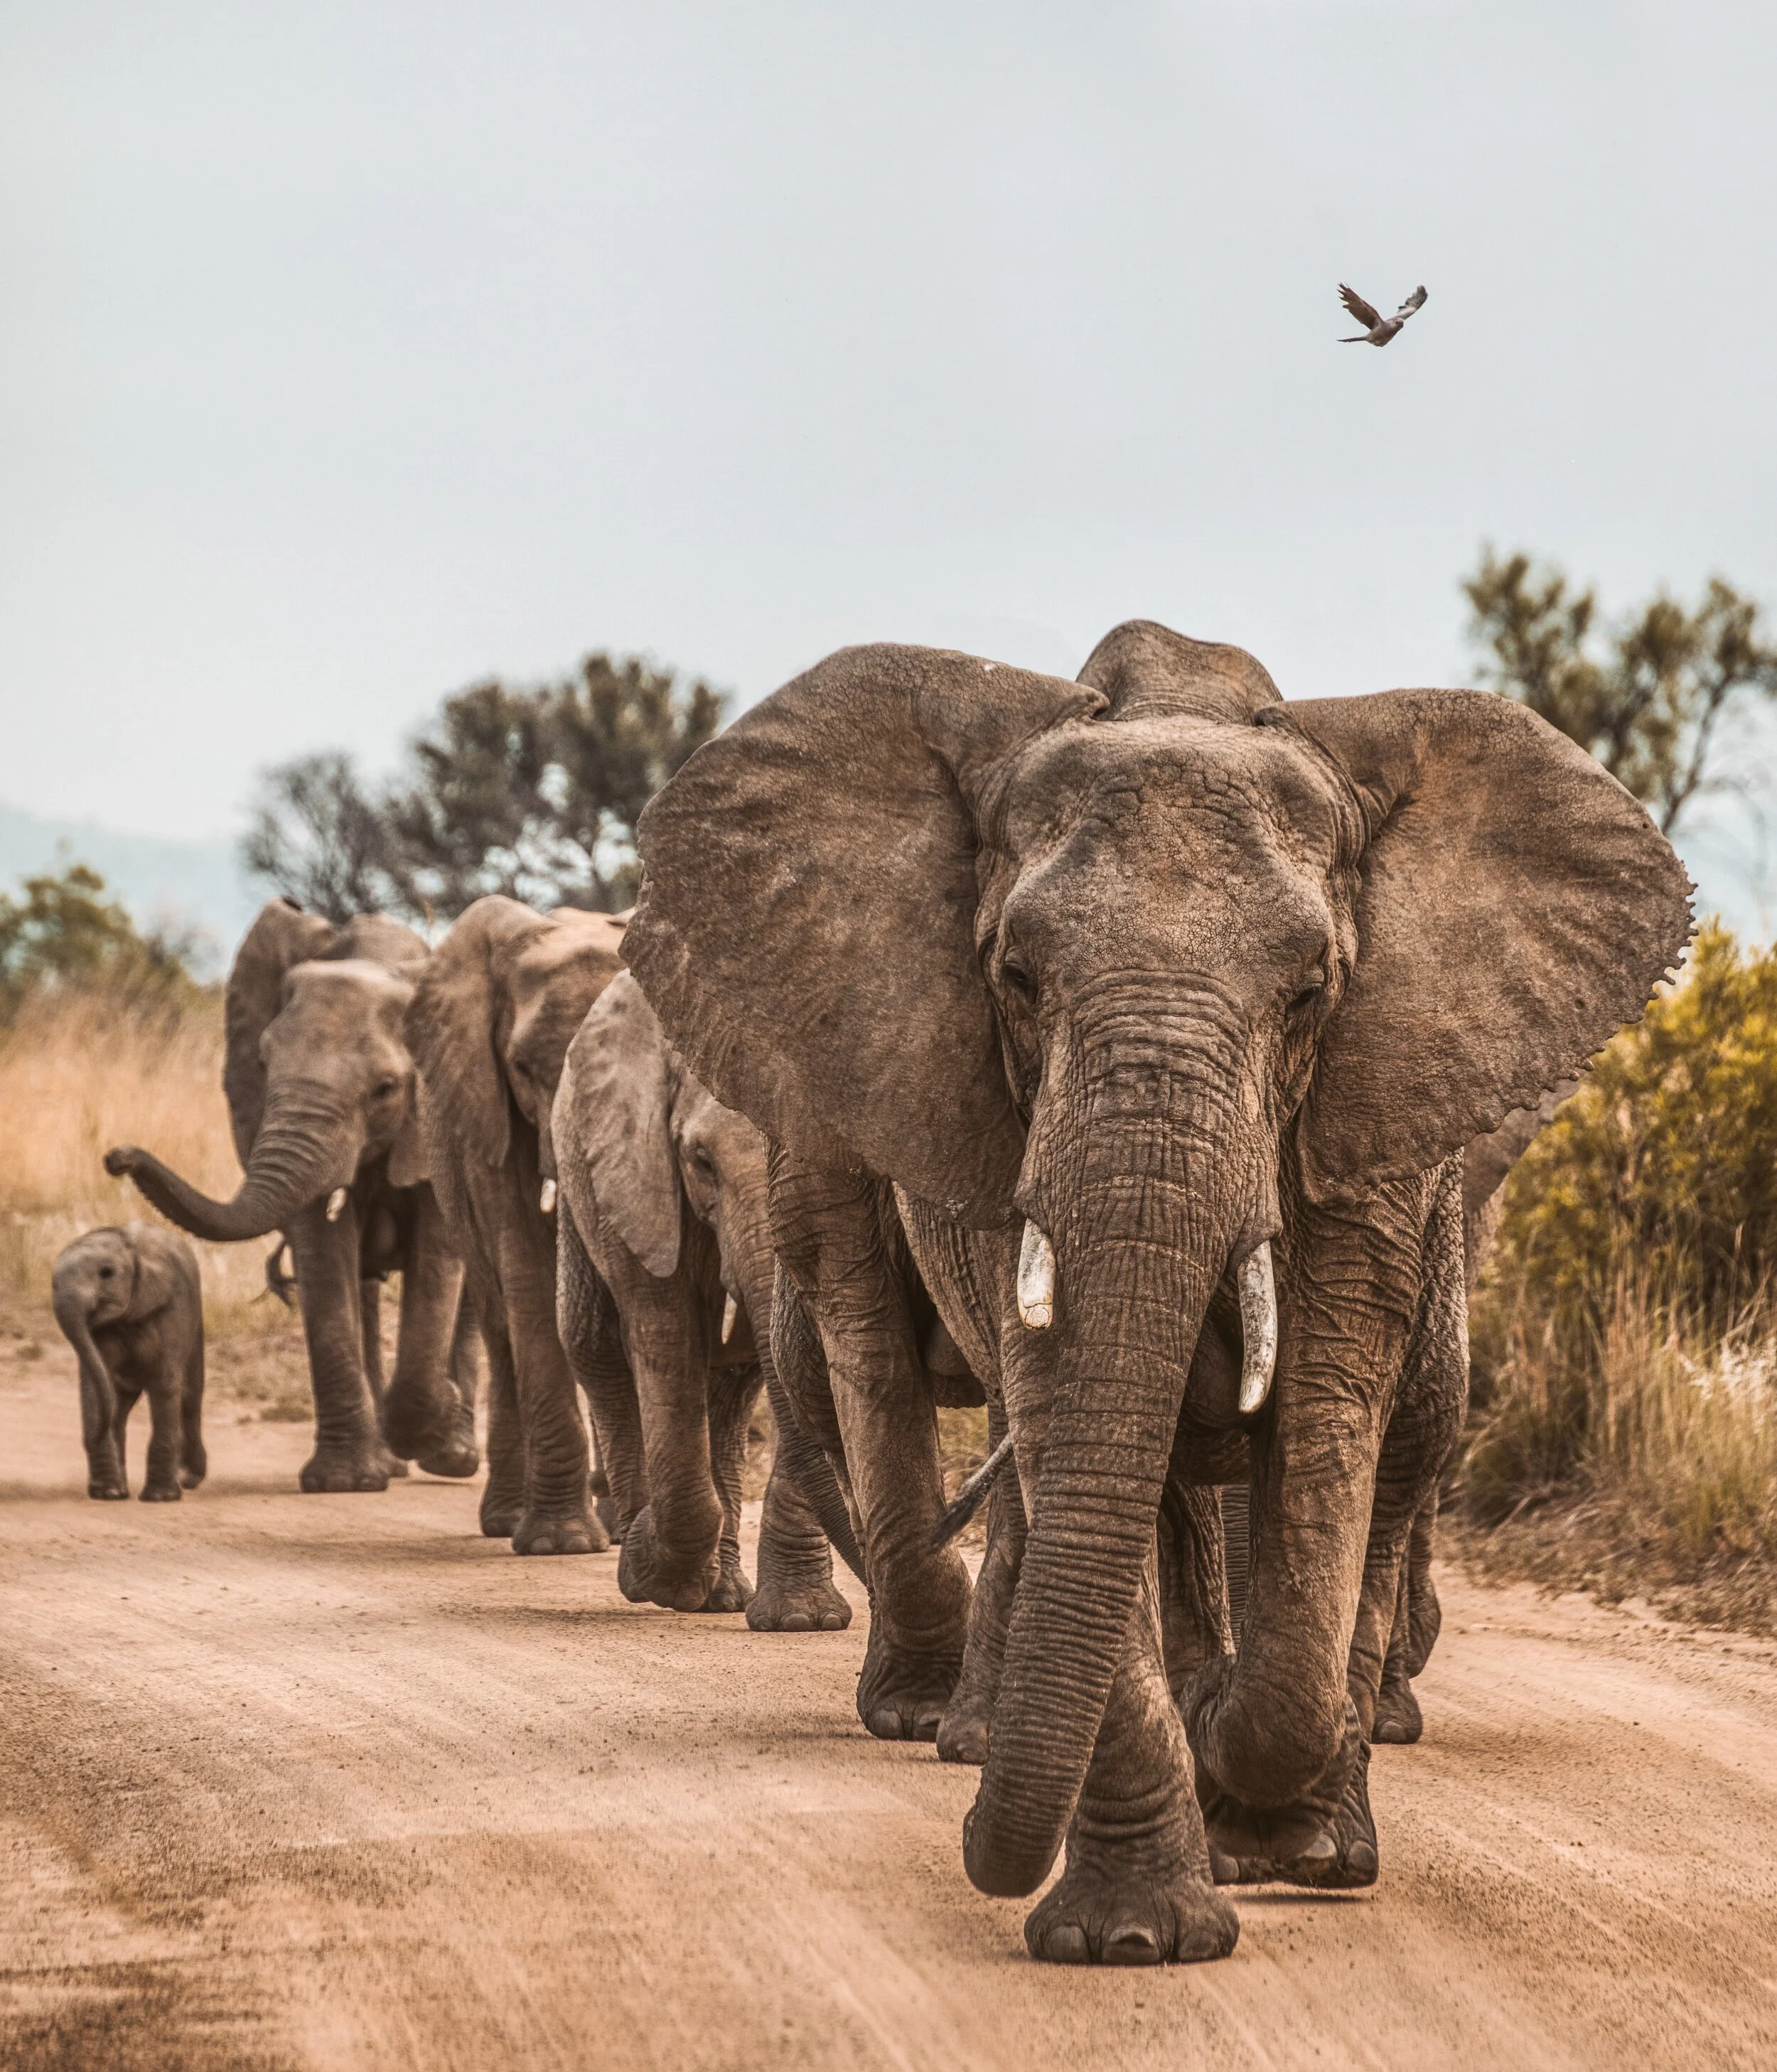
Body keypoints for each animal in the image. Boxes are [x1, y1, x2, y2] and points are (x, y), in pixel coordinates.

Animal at [52, 1223, 206, 1502]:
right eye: (53, 1284)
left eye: (106, 1273)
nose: (93, 1436)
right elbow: (95, 1381)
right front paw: (108, 1493)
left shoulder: (173, 1307)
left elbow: (165, 1382)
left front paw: (161, 1498)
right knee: (120, 1403)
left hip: (196, 1321)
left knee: (190, 1395)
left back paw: (188, 1479)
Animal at [106, 900, 475, 1494]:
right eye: (262, 1065)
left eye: (386, 1089)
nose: (117, 1156)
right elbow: (323, 1255)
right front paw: (346, 1482)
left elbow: (439, 1258)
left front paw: (435, 1416)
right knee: (364, 1287)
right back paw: (393, 1459)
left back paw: (453, 1456)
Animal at [405, 895, 631, 1553]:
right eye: (524, 1067)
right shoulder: (488, 1110)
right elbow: (528, 1269)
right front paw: (562, 1543)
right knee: (501, 1321)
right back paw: (509, 1520)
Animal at [551, 969, 860, 1622]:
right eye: (701, 1161)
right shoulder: (639, 1174)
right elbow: (665, 1336)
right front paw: (651, 1571)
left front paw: (804, 1620)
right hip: (579, 1178)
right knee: (595, 1347)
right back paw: (646, 1559)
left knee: (732, 1389)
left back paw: (721, 1594)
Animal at [621, 622, 1689, 1964]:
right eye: (1016, 978)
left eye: (1311, 993)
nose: (972, 1840)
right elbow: (1068, 1420)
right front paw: (1135, 1936)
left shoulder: (1370, 1125)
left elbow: (1327, 1428)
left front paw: (1275, 1820)